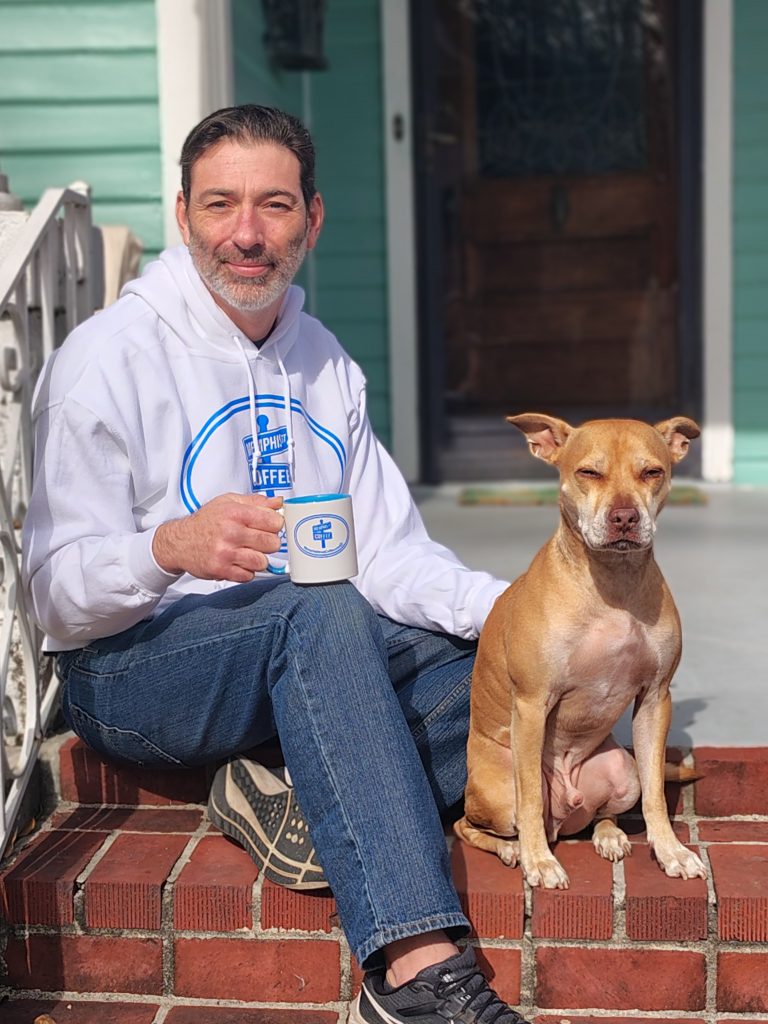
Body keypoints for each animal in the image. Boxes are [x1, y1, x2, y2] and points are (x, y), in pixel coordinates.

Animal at [454, 414, 707, 889]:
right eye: (588, 472)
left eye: (652, 472)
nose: (625, 517)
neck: (613, 583)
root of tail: (565, 815)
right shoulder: (532, 704)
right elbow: (530, 800)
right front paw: (539, 862)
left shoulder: (655, 699)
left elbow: (655, 795)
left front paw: (671, 852)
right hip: (497, 792)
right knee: (470, 823)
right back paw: (513, 849)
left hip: (622, 770)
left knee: (603, 813)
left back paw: (609, 836)